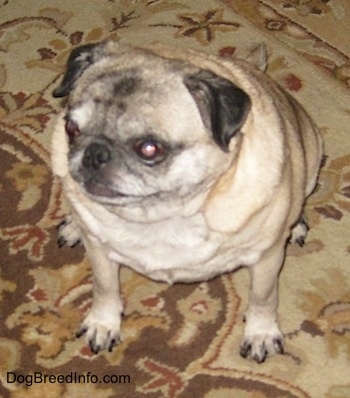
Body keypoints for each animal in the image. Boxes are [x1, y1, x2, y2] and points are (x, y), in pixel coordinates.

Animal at [50, 41, 322, 364]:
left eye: (150, 149)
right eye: (71, 129)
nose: (94, 153)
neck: (162, 215)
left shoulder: (267, 259)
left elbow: (263, 298)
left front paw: (261, 332)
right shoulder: (99, 252)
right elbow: (104, 288)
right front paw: (103, 323)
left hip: (313, 158)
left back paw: (297, 225)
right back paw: (73, 226)